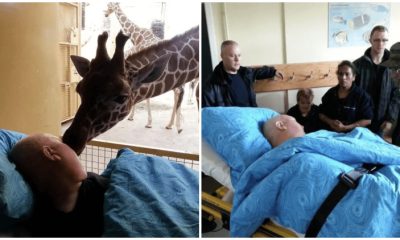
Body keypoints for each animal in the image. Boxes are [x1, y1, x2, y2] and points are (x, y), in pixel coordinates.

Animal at [105, 1, 188, 132]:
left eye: (109, 5)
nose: (105, 13)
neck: (137, 36)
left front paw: (147, 122)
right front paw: (135, 117)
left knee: (178, 92)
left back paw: (175, 125)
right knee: (178, 92)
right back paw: (172, 124)